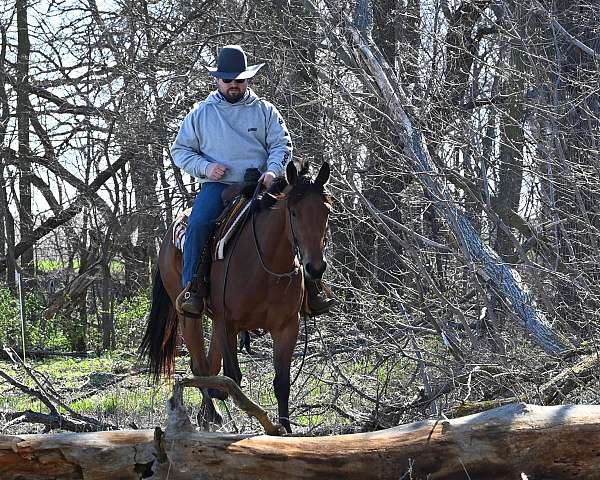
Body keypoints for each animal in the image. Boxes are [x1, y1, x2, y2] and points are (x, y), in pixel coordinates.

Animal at [139, 160, 332, 432]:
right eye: (293, 212)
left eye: (326, 211)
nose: (315, 268)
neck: (264, 263)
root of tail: (168, 238)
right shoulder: (227, 323)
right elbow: (233, 381)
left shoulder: (286, 327)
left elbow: (281, 383)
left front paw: (286, 431)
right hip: (190, 316)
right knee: (200, 366)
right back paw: (212, 416)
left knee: (210, 366)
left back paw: (207, 417)